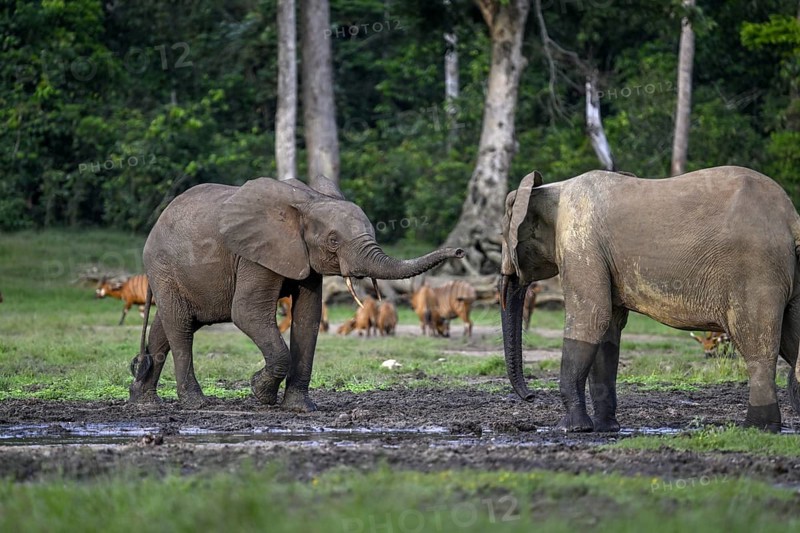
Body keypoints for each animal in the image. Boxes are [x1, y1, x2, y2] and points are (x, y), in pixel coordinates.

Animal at [129, 176, 464, 411]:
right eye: (333, 240)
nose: (459, 251)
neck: (309, 202)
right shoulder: (254, 254)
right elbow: (247, 312)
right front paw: (260, 392)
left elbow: (308, 316)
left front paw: (301, 408)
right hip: (163, 266)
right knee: (180, 326)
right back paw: (196, 403)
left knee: (167, 325)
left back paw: (143, 400)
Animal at [499, 166, 800, 432]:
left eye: (502, 235)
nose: (531, 397)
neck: (552, 190)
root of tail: (791, 218)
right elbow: (608, 330)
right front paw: (605, 429)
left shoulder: (581, 243)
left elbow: (591, 318)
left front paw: (570, 429)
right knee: (790, 339)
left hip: (756, 270)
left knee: (756, 345)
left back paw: (756, 428)